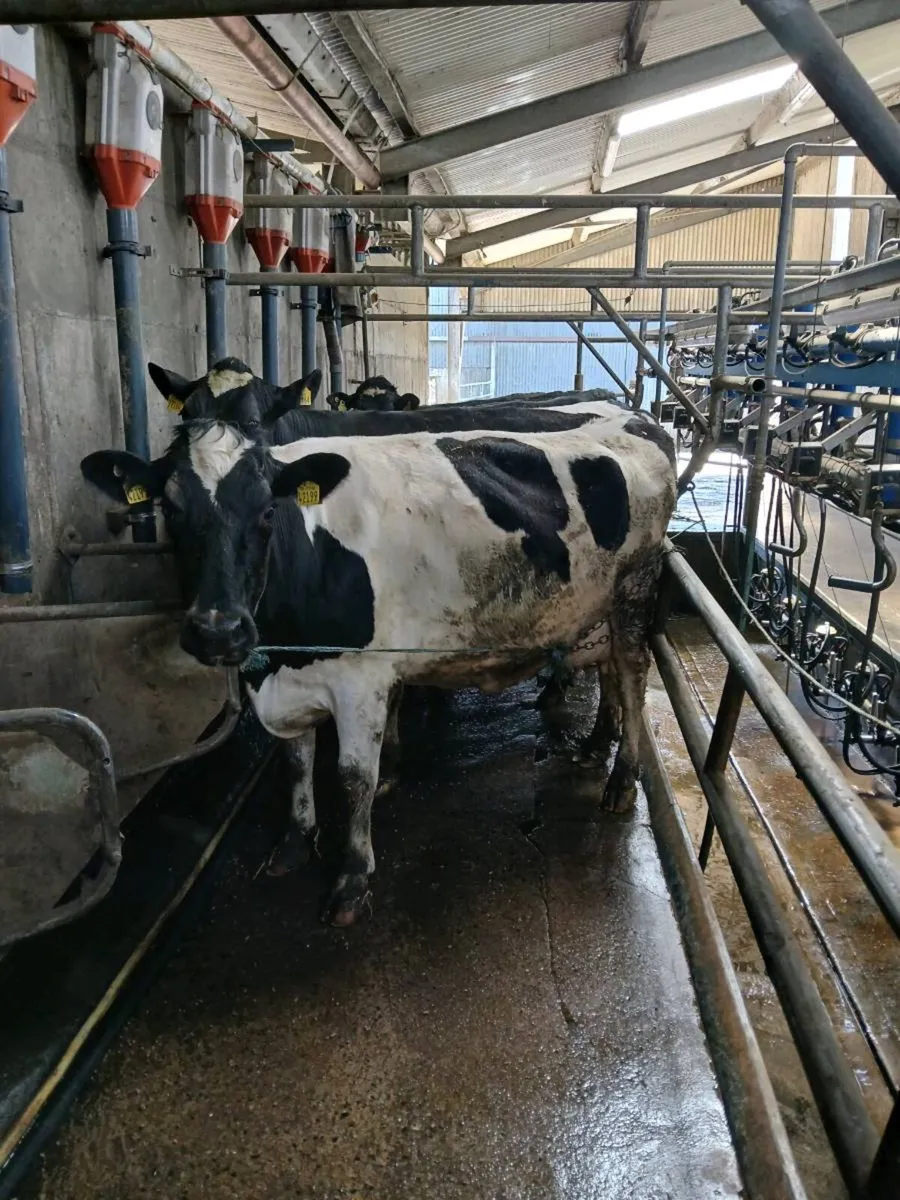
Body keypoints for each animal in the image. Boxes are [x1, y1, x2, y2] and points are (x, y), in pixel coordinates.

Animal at [81, 398, 676, 926]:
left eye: (268, 510)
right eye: (170, 511)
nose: (217, 630)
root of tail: (637, 417)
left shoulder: (359, 680)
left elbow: (353, 778)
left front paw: (351, 877)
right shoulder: (287, 682)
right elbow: (295, 761)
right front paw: (296, 841)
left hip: (634, 592)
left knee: (631, 675)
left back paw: (621, 781)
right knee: (610, 673)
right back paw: (596, 743)